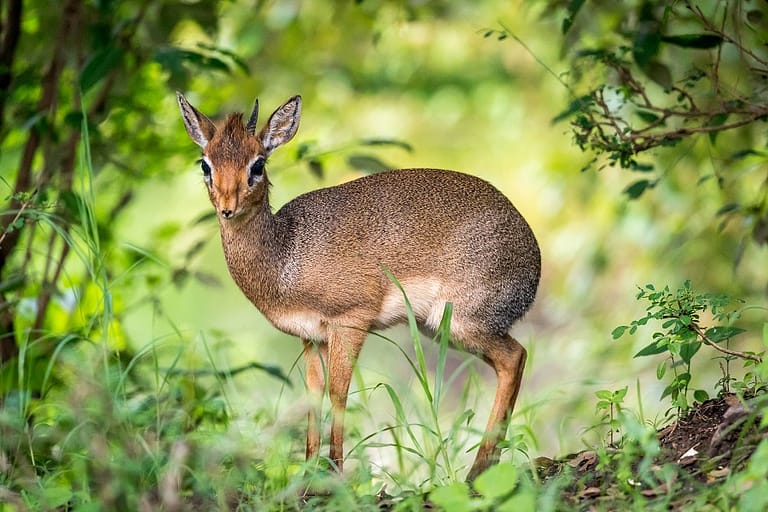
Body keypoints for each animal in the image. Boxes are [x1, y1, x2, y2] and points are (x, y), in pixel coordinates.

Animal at [178, 93, 544, 480]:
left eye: (258, 164)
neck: (285, 253)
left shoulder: (350, 320)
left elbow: (339, 391)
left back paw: (477, 473)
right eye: (205, 164)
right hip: (440, 329)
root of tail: (533, 255)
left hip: (464, 321)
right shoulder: (311, 336)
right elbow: (313, 395)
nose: (227, 208)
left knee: (515, 357)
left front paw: (336, 474)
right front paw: (308, 475)